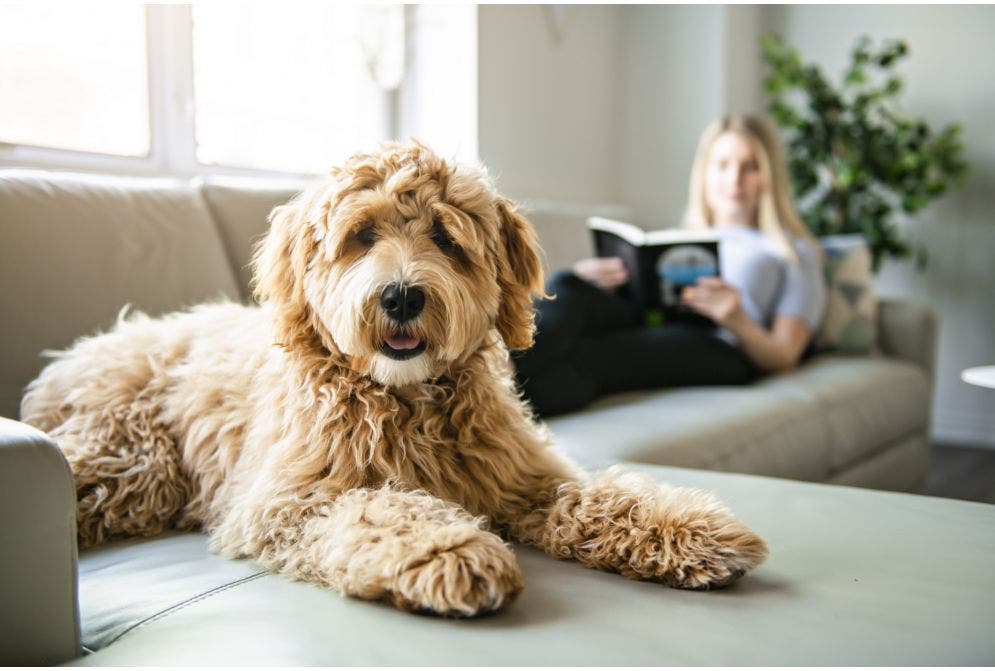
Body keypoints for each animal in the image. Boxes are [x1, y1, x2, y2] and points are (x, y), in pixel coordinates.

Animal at [21, 143, 772, 620]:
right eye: (360, 235)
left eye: (445, 237)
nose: (403, 296)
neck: (406, 398)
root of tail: (80, 352)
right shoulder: (288, 501)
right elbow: (378, 508)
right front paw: (450, 550)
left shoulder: (524, 477)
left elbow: (599, 496)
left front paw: (690, 528)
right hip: (132, 461)